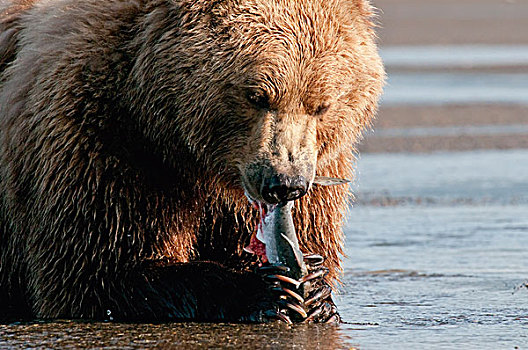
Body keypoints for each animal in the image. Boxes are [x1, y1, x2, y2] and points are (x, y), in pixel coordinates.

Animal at [0, 0, 382, 322]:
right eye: (257, 96)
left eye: (322, 104)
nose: (284, 183)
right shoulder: (98, 139)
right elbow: (96, 269)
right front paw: (266, 291)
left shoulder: (321, 169)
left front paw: (317, 290)